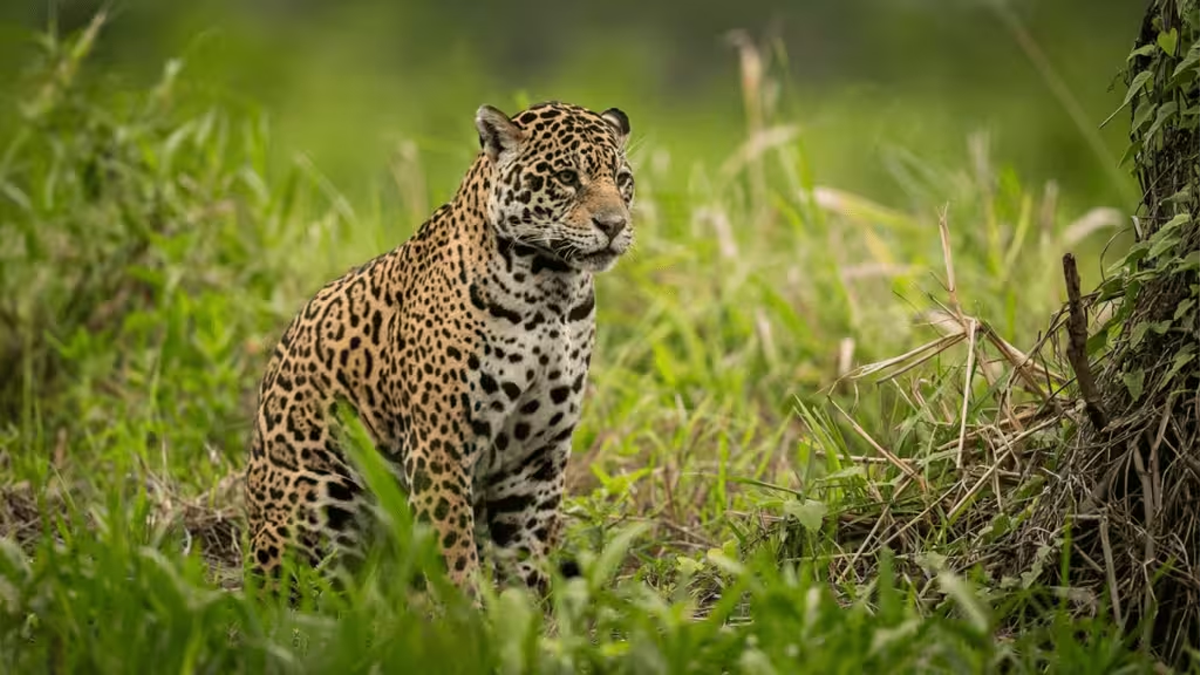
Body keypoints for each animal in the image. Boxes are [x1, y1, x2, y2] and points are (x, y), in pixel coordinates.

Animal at [245, 101, 634, 599]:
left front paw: (533, 614)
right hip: (321, 493)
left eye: (622, 180)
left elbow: (527, 552)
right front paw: (466, 614)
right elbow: (453, 553)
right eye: (567, 177)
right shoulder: (440, 444)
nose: (614, 224)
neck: (552, 291)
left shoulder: (538, 455)